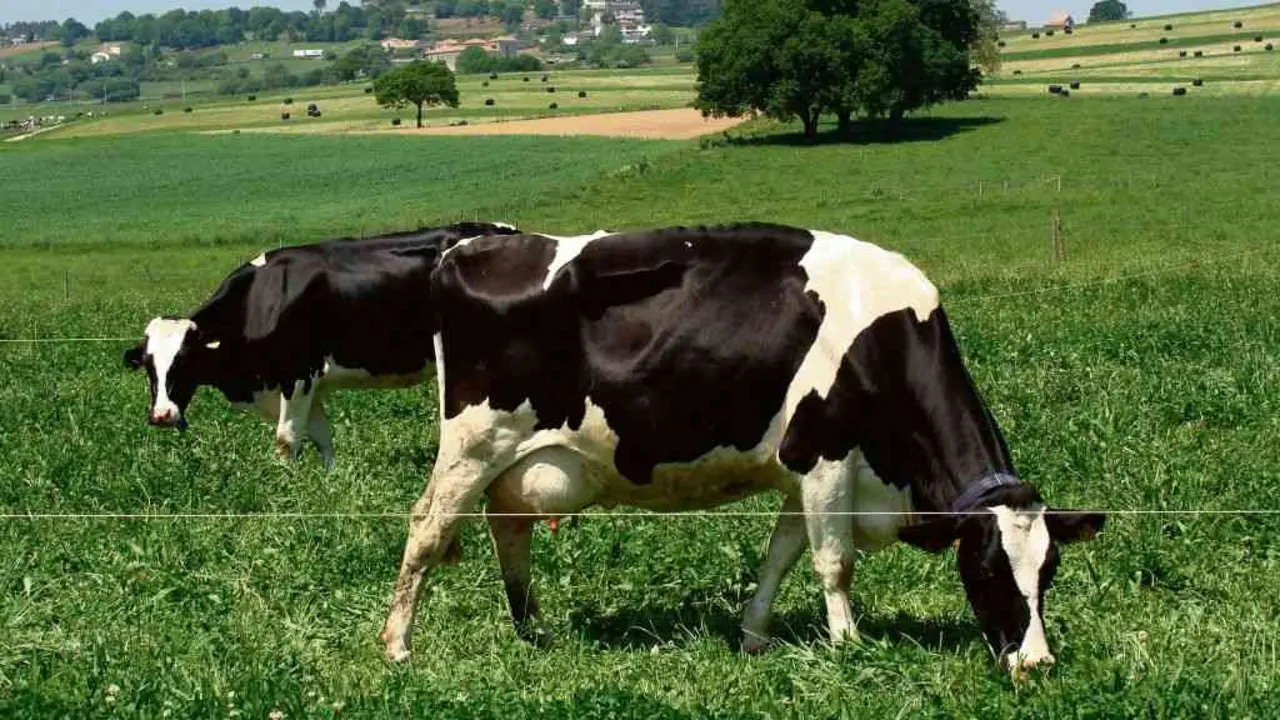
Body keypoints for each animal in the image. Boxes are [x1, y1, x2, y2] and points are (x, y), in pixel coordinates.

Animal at [122, 221, 522, 469]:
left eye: (184, 360)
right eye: (148, 366)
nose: (161, 415)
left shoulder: (297, 373)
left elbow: (286, 438)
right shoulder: (309, 383)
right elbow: (321, 438)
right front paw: (329, 481)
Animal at [377, 223, 1105, 675]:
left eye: (1048, 573)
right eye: (986, 569)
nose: (1037, 662)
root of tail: (466, 248)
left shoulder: (801, 471)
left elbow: (781, 556)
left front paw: (754, 635)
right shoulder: (826, 456)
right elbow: (834, 562)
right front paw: (848, 645)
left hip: (518, 460)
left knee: (509, 529)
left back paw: (534, 631)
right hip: (475, 442)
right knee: (426, 527)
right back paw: (397, 645)